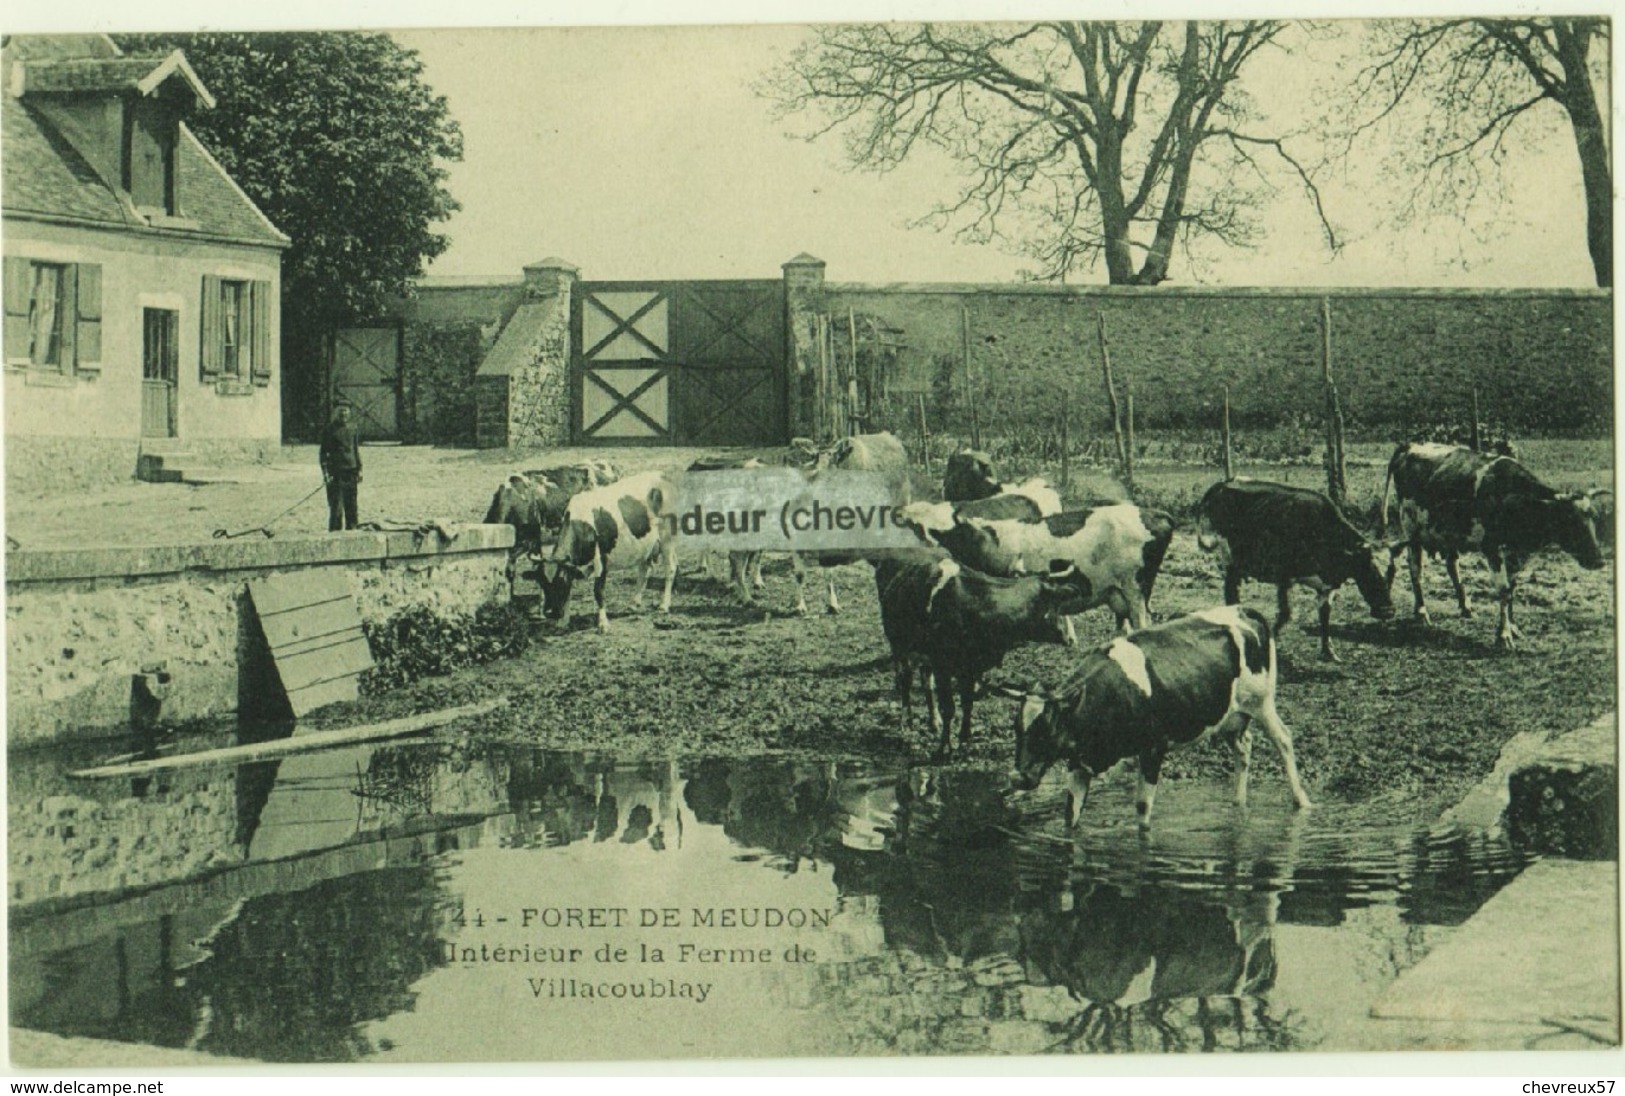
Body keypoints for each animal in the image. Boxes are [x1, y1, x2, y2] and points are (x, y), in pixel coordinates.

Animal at [529, 471, 676, 630]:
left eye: (560, 581)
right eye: (541, 582)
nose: (551, 612)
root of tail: (660, 474)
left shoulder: (602, 560)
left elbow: (598, 591)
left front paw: (603, 623)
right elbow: (570, 591)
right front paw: (564, 621)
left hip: (667, 538)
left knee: (670, 568)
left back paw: (664, 605)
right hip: (644, 545)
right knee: (644, 570)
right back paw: (634, 603)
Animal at [877, 549, 1092, 754]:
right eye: (1059, 606)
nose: (1072, 639)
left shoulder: (972, 667)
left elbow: (967, 702)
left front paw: (965, 737)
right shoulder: (942, 665)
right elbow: (949, 708)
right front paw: (945, 747)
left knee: (926, 682)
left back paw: (933, 722)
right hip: (899, 646)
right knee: (905, 679)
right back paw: (907, 720)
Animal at [994, 601, 1313, 822]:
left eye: (1046, 729)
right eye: (1017, 730)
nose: (1017, 778)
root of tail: (1244, 610)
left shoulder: (1153, 749)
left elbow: (1142, 810)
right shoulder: (1081, 762)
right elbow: (1070, 814)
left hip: (1261, 701)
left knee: (1284, 740)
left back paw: (1301, 801)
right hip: (1229, 716)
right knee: (1243, 748)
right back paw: (1238, 804)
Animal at [1196, 474, 1397, 656]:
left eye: (1392, 573)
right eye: (1366, 570)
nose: (1388, 611)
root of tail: (1224, 483)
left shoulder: (1328, 585)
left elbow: (1325, 614)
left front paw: (1328, 651)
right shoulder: (1284, 576)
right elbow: (1286, 614)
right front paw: (1271, 640)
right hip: (1228, 555)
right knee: (1231, 591)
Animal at [1378, 439, 1605, 643]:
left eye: (1594, 517)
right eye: (1570, 521)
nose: (1599, 561)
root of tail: (1411, 445)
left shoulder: (1516, 552)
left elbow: (1511, 588)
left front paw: (1513, 628)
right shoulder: (1492, 548)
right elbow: (1503, 590)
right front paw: (1504, 635)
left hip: (1447, 532)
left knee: (1447, 563)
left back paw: (1465, 606)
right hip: (1412, 528)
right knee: (1415, 569)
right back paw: (1421, 612)